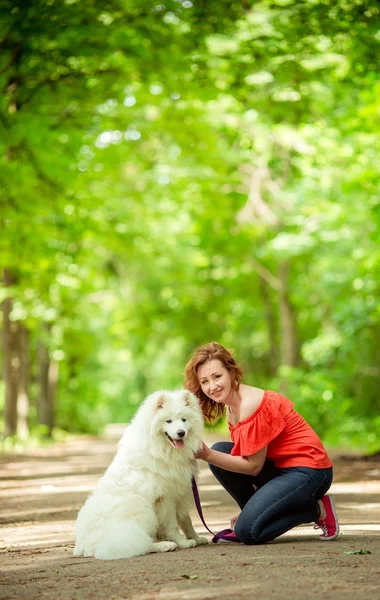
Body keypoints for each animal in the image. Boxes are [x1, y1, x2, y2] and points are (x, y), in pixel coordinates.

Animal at [72, 390, 208, 556]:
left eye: (184, 419)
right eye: (168, 421)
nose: (181, 433)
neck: (162, 451)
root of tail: (82, 546)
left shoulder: (180, 491)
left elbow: (186, 521)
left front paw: (196, 537)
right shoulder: (165, 497)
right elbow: (172, 525)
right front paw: (183, 542)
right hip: (140, 505)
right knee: (140, 542)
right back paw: (165, 545)